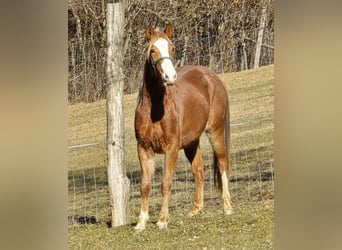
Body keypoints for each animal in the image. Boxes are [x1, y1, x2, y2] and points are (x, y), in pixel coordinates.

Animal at [134, 24, 232, 231]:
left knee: (222, 164)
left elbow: (166, 182)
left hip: (216, 132)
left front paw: (162, 220)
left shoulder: (171, 148)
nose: (170, 76)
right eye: (152, 50)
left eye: (172, 48)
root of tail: (211, 76)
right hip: (191, 142)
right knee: (199, 169)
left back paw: (227, 207)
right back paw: (196, 209)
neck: (155, 108)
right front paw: (141, 222)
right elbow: (145, 185)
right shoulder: (144, 148)